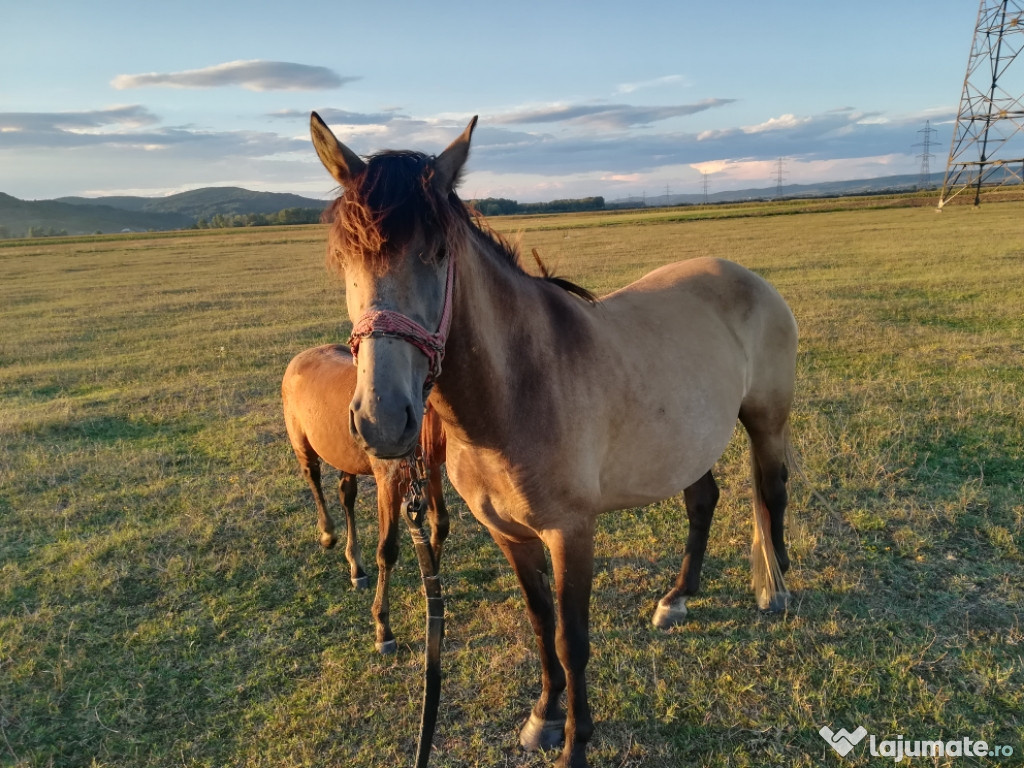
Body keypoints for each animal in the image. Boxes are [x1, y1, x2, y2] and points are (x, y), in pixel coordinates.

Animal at [280, 346, 444, 651]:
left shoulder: (431, 468)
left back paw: (356, 567)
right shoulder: (389, 480)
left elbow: (440, 525)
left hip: (346, 456)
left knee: (346, 496)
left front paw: (430, 584)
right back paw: (327, 534)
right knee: (314, 479)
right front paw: (383, 628)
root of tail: (301, 356)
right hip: (303, 445)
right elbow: (387, 550)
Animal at [309, 111, 798, 765]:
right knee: (703, 502)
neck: (517, 391)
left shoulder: (571, 533)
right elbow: (541, 622)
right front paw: (544, 716)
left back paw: (778, 587)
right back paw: (677, 597)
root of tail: (746, 277)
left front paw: (574, 743)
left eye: (437, 252)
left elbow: (573, 639)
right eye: (344, 261)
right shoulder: (510, 534)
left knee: (773, 493)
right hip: (689, 443)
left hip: (766, 421)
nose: (383, 419)